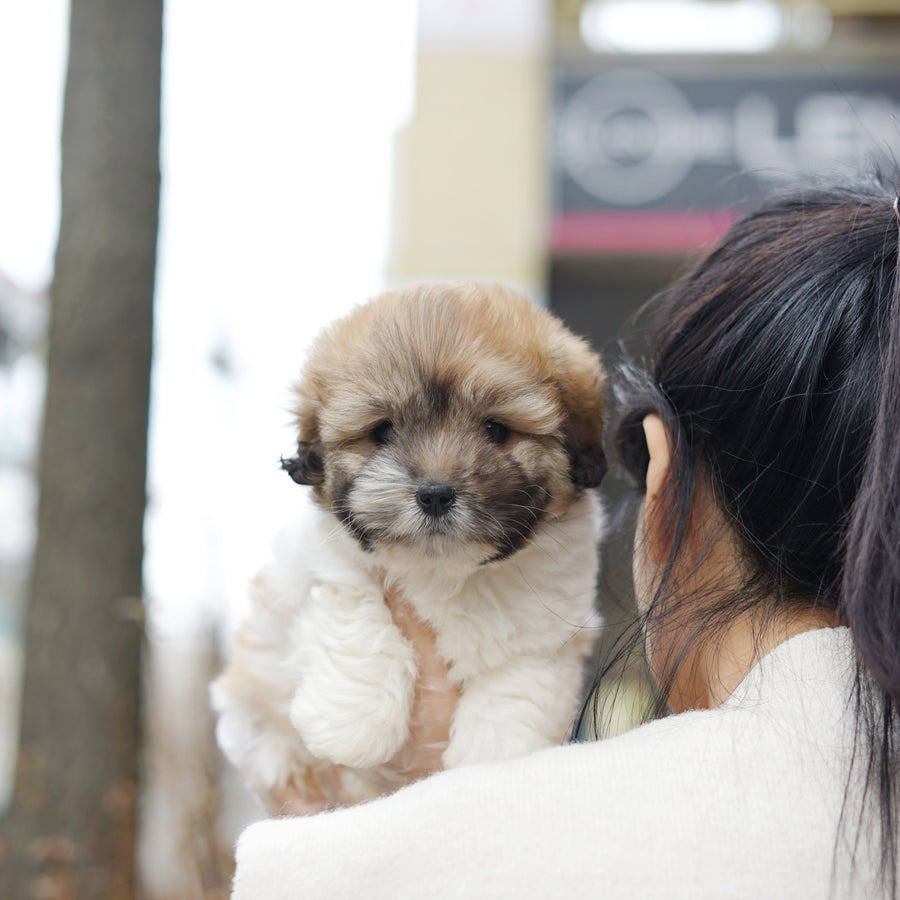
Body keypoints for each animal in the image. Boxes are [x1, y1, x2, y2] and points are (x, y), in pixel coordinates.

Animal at [211, 282, 604, 808]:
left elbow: (519, 679)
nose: (435, 494)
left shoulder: (553, 611)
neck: (445, 570)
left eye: (495, 429)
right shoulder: (320, 559)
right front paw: (352, 722)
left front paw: (494, 760)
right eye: (382, 431)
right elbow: (358, 615)